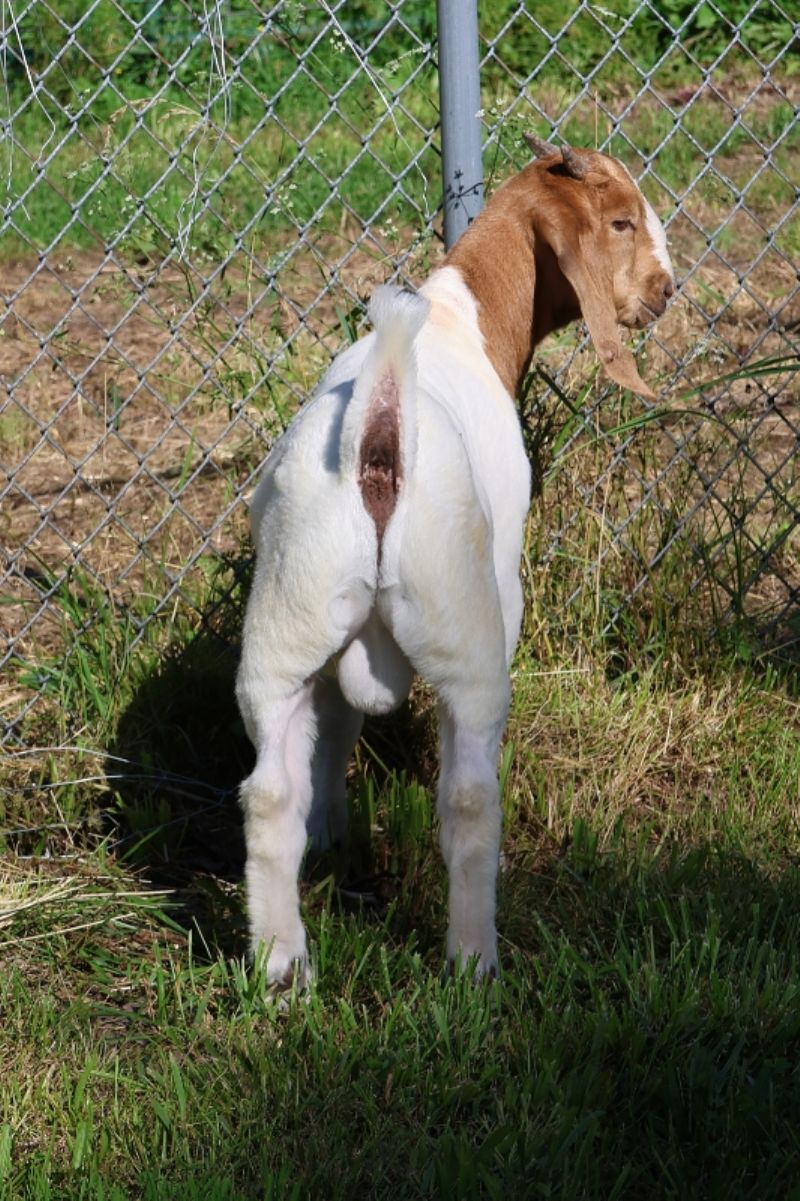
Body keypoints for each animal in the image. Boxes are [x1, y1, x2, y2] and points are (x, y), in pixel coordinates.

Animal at [236, 137, 675, 987]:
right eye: (620, 222)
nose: (666, 294)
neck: (458, 319)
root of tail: (379, 428)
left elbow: (334, 735)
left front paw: (334, 833)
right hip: (469, 639)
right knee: (470, 798)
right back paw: (474, 960)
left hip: (285, 623)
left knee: (269, 794)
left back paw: (282, 965)